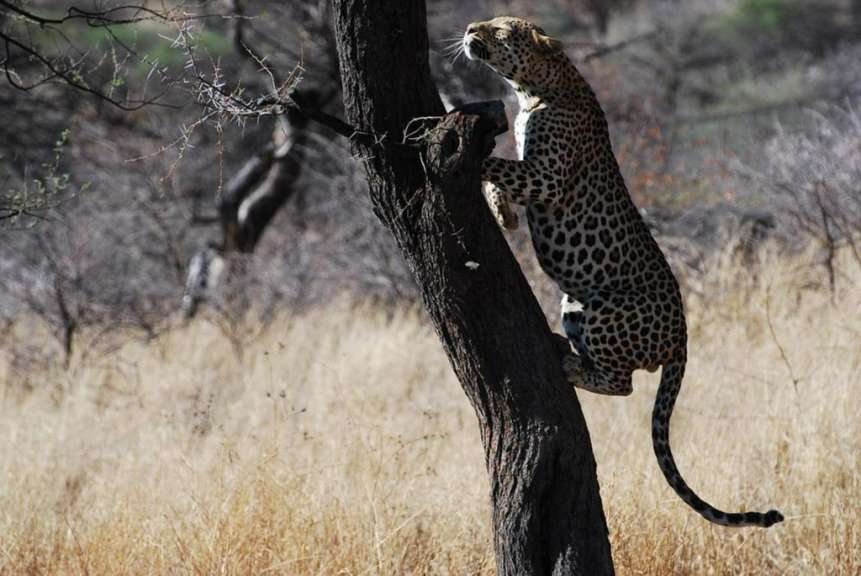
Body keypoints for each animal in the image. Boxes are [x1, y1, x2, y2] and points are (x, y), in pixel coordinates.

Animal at [462, 16, 783, 528]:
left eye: (502, 29)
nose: (472, 27)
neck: (534, 89)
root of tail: (682, 337)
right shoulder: (532, 168)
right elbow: (500, 177)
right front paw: (503, 214)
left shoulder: (545, 176)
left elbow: (495, 163)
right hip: (574, 301)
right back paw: (564, 349)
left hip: (607, 310)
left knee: (624, 384)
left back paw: (568, 363)